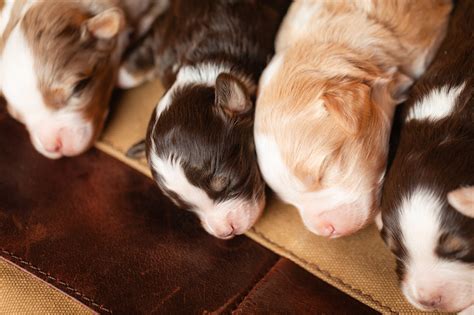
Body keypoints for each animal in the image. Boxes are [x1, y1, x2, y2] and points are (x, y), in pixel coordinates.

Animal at [119, 0, 288, 239]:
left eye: (225, 182)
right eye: (186, 206)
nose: (225, 231)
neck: (204, 63)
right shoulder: (163, 38)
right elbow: (127, 74)